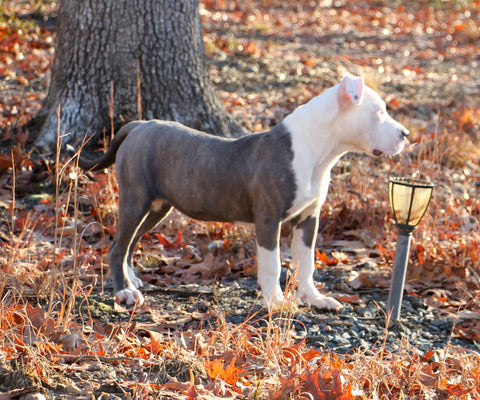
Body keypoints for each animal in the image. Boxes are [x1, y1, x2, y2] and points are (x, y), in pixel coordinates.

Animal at [76, 75, 408, 308]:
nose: (405, 134)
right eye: (378, 112)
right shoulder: (268, 218)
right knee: (117, 246)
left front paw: (315, 300)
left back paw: (131, 280)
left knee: (131, 242)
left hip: (159, 205)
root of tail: (139, 125)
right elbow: (273, 264)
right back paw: (124, 292)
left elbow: (306, 264)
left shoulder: (308, 218)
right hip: (136, 198)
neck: (319, 151)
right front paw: (277, 303)